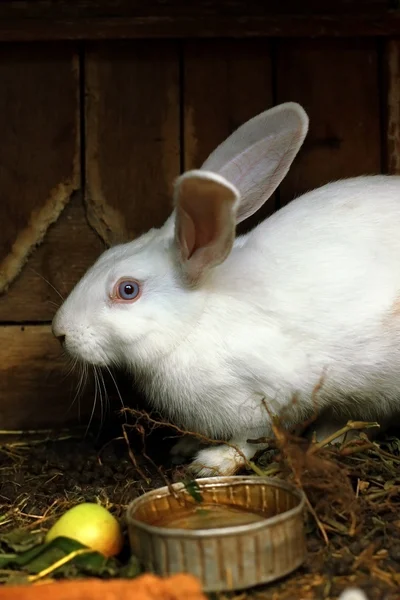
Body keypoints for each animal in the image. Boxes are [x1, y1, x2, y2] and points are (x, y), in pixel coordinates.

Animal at [54, 103, 400, 478]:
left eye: (128, 290)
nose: (60, 332)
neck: (193, 324)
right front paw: (185, 446)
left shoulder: (268, 398)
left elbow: (250, 438)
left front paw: (212, 462)